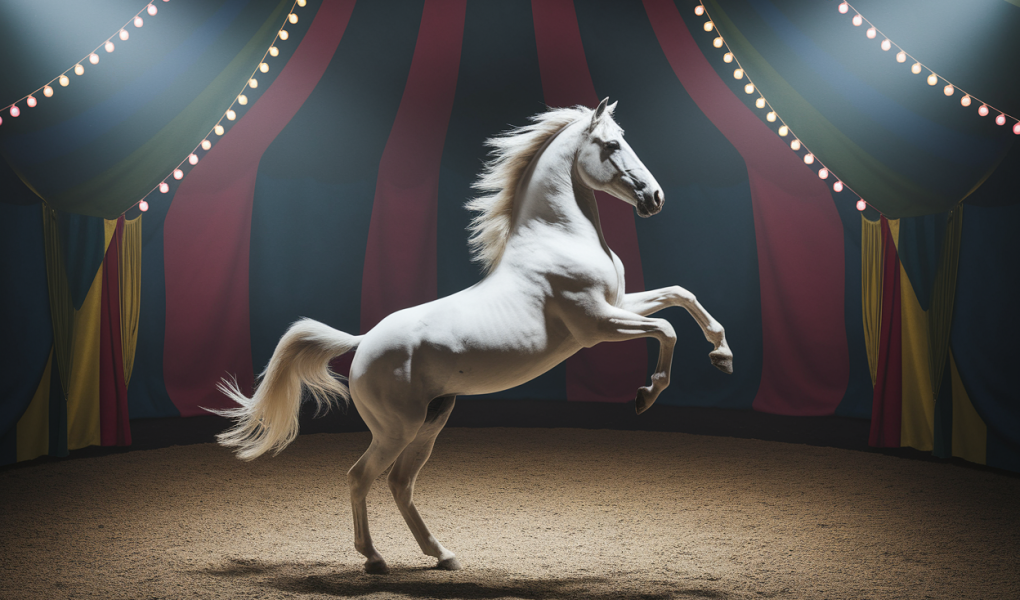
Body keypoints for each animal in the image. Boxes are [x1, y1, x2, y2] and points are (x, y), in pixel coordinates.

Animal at [213, 98, 733, 574]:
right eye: (610, 145)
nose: (654, 197)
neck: (559, 237)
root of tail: (363, 343)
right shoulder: (598, 324)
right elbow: (667, 328)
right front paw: (648, 394)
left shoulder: (620, 304)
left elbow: (680, 296)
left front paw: (722, 354)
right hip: (397, 427)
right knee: (361, 477)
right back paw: (375, 560)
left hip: (431, 420)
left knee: (400, 483)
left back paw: (442, 555)